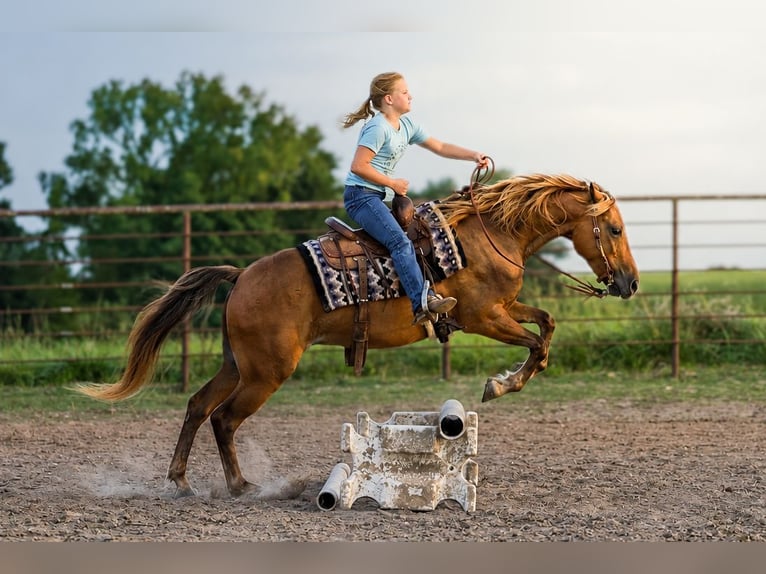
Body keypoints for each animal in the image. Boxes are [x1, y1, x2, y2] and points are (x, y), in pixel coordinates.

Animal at [76, 172, 639, 498]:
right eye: (613, 229)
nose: (630, 282)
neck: (489, 235)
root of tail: (241, 277)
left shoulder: (503, 308)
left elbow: (546, 323)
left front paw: (506, 378)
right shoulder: (483, 316)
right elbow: (537, 341)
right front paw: (502, 383)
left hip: (238, 364)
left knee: (197, 405)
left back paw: (180, 481)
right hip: (266, 373)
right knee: (225, 418)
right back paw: (240, 486)